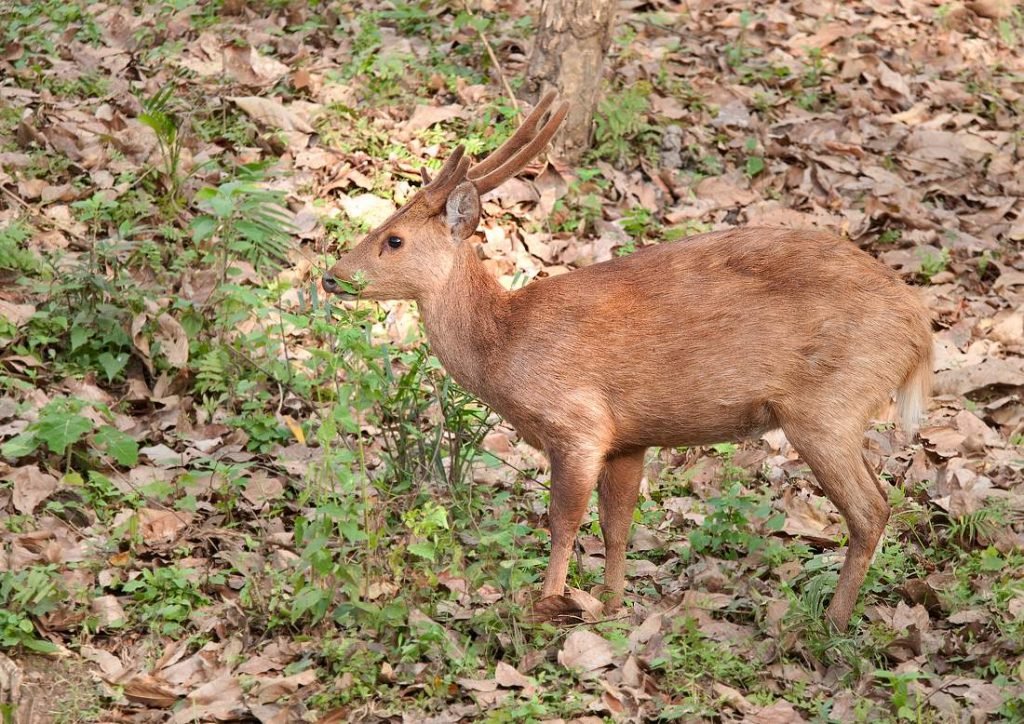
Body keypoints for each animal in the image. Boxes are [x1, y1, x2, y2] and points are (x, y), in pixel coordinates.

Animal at [323, 93, 933, 630]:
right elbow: (617, 526)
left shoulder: (579, 423)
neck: (505, 343)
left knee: (871, 509)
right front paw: (612, 606)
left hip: (826, 405)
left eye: (394, 240)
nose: (331, 276)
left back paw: (831, 624)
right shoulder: (629, 438)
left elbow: (562, 521)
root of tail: (919, 330)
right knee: (882, 501)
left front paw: (547, 607)